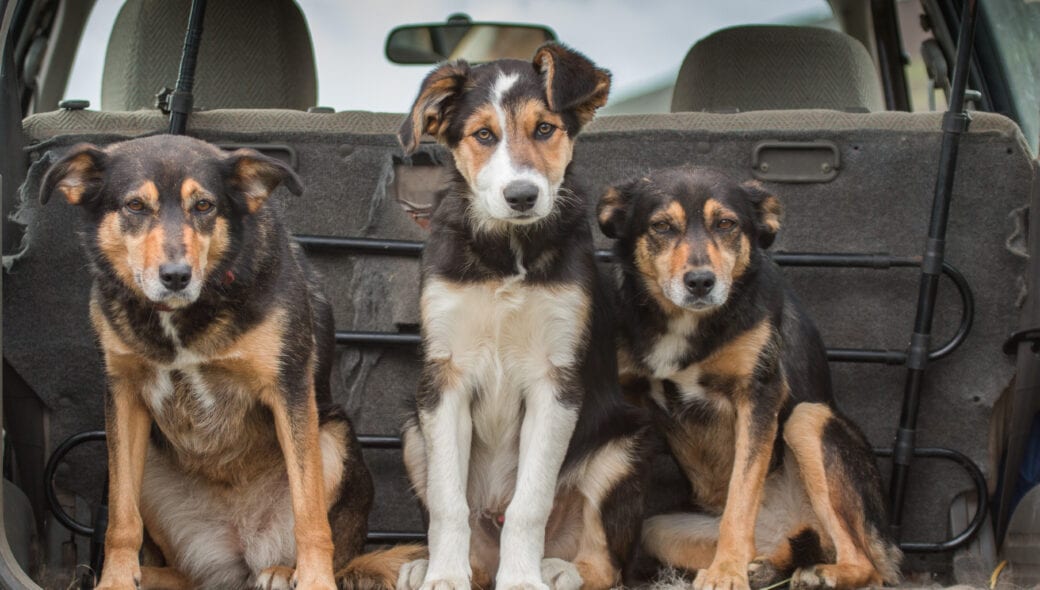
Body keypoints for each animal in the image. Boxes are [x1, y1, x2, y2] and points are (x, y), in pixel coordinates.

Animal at [40, 135, 376, 590]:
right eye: (134, 206)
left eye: (204, 206)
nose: (176, 276)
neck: (182, 316)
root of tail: (242, 547)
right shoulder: (123, 394)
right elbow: (122, 518)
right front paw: (115, 579)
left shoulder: (289, 390)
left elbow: (309, 512)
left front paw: (315, 581)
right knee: (186, 575)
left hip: (334, 438)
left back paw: (283, 571)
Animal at [343, 43, 649, 590]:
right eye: (483, 135)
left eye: (545, 129)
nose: (522, 196)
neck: (507, 251)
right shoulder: (445, 378)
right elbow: (449, 503)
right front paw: (445, 576)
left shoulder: (555, 382)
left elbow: (531, 503)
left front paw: (522, 579)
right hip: (413, 432)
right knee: (474, 538)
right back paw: (425, 565)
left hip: (622, 447)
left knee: (603, 564)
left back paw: (556, 569)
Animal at [597, 166, 902, 590]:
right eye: (661, 226)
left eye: (726, 224)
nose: (701, 281)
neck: (688, 325)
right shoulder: (629, 399)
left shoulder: (757, 397)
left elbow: (740, 499)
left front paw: (727, 571)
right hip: (662, 530)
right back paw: (767, 566)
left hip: (807, 419)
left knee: (864, 563)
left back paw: (817, 573)